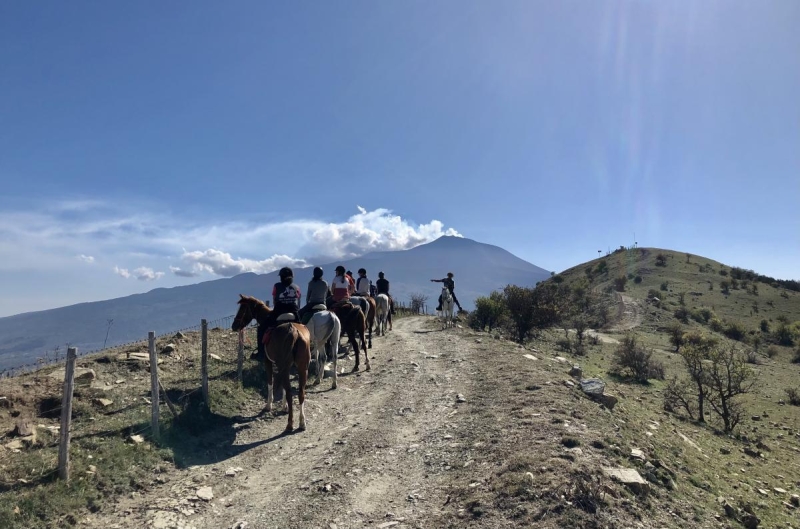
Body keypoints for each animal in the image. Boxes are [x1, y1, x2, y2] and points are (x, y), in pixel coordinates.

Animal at [233, 292, 310, 434]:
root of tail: (294, 332)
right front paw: (284, 406)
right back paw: (302, 422)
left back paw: (290, 424)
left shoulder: (267, 361)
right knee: (301, 393)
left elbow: (270, 381)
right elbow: (284, 387)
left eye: (242, 309)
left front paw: (269, 405)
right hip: (302, 368)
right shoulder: (287, 367)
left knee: (290, 393)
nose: (234, 325)